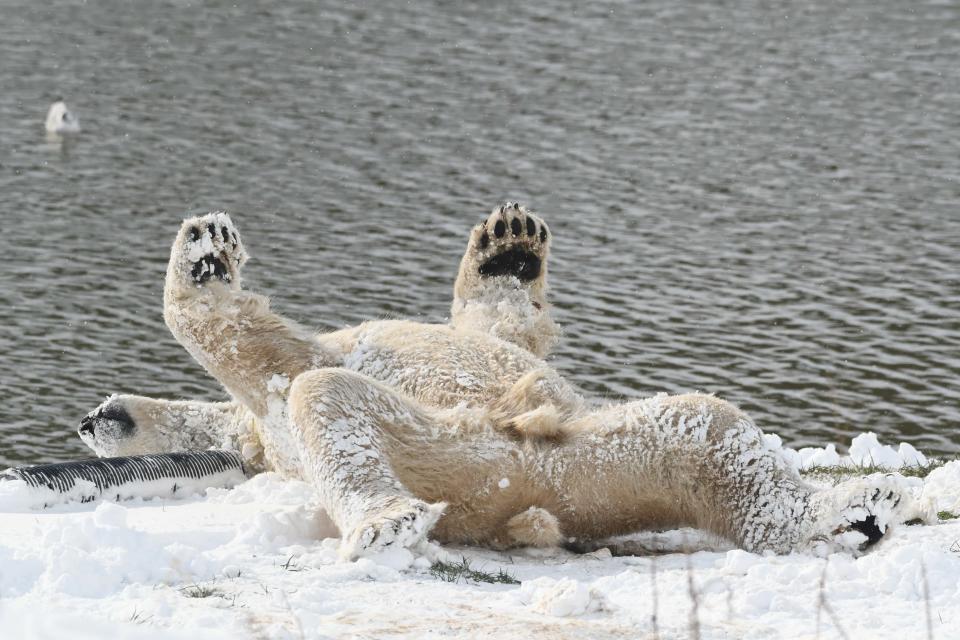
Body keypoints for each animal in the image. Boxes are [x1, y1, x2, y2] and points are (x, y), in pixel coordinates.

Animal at [79, 206, 928, 560]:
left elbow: (498, 328)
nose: (94, 416)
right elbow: (257, 345)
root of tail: (523, 504)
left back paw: (862, 507)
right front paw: (204, 253)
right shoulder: (285, 371)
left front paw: (508, 247)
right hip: (477, 454)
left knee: (706, 450)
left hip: (607, 468)